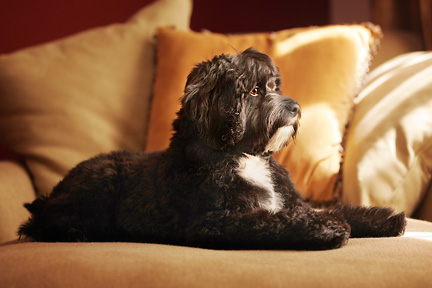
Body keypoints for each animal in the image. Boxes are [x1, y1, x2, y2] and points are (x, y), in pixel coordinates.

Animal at [18, 48, 406, 249]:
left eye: (275, 86)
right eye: (254, 91)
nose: (296, 108)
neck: (241, 155)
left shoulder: (291, 200)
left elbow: (333, 209)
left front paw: (382, 218)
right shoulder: (216, 222)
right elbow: (274, 221)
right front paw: (325, 229)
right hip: (98, 182)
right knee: (36, 222)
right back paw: (75, 232)